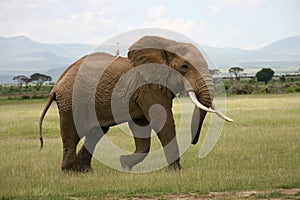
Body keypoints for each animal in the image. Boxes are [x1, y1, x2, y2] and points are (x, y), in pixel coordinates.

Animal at [39, 35, 232, 172]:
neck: (166, 46)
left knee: (96, 131)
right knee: (72, 134)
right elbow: (163, 121)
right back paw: (69, 171)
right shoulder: (148, 88)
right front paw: (177, 171)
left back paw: (84, 171)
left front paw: (124, 163)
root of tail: (57, 83)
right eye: (185, 66)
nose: (193, 141)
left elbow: (142, 131)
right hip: (71, 101)